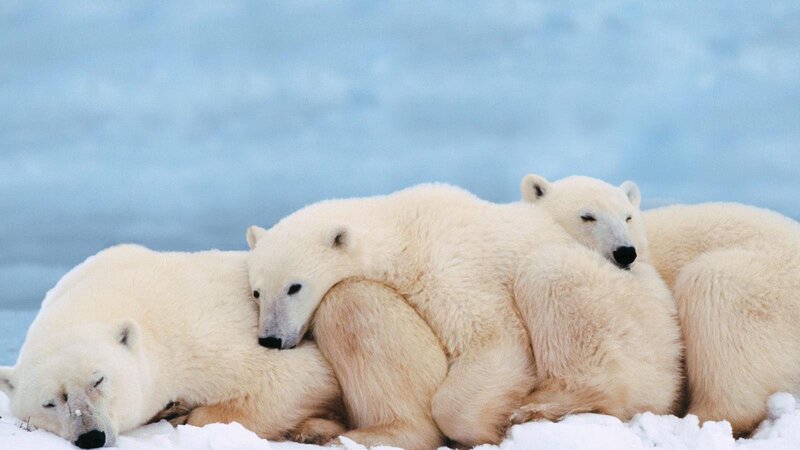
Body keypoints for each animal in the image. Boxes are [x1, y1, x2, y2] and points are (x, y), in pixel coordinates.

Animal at [0, 244, 448, 449]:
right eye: (50, 402)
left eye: (99, 380)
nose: (90, 436)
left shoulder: (199, 334)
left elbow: (296, 377)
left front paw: (185, 413)